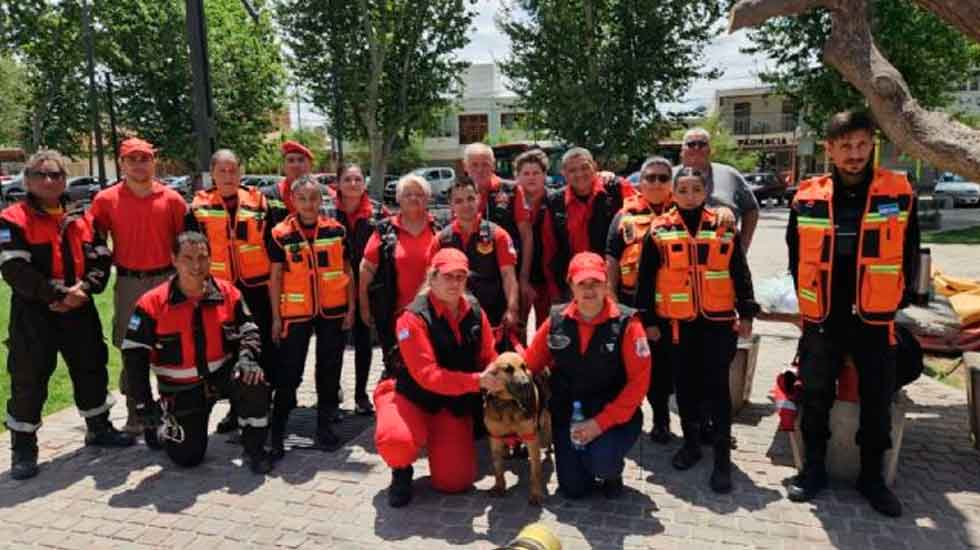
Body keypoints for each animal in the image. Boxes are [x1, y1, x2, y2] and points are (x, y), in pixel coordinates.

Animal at [482, 354, 552, 504]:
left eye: (524, 366)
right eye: (508, 369)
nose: (526, 384)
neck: (508, 403)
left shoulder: (531, 438)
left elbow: (535, 472)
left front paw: (536, 494)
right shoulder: (494, 439)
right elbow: (498, 470)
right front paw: (499, 487)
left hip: (546, 421)